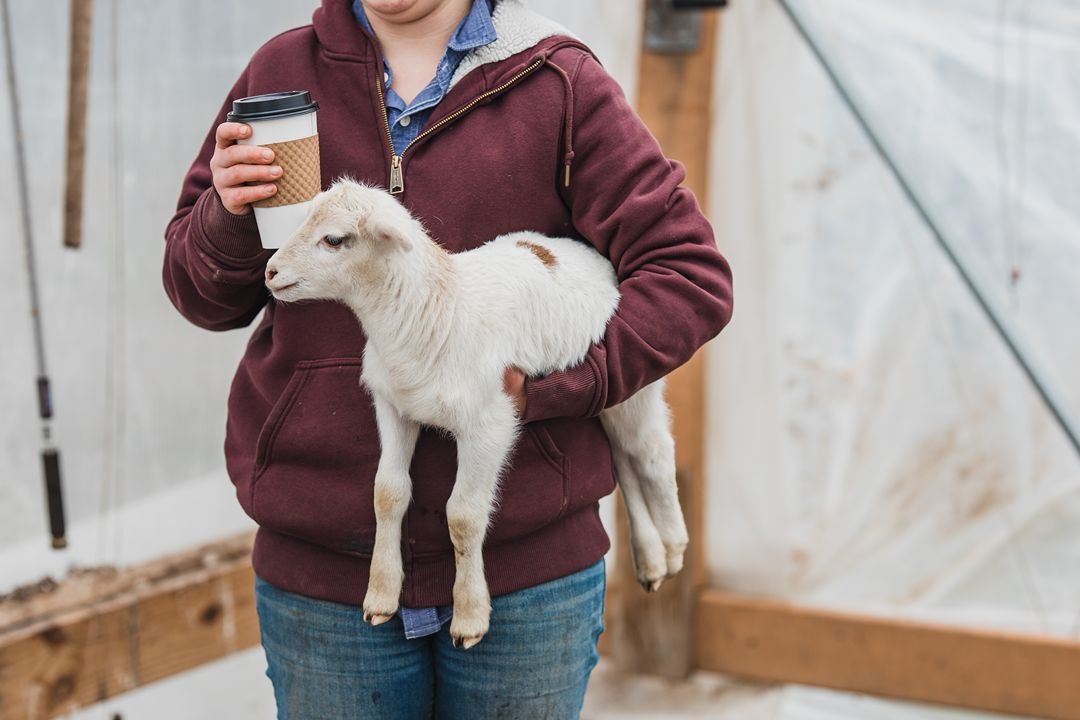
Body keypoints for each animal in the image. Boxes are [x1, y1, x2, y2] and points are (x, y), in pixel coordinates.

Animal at [264, 180, 687, 649]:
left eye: (335, 240)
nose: (270, 272)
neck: (434, 311)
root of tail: (592, 254)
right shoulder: (394, 407)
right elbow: (387, 493)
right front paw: (381, 594)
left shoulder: (489, 423)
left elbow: (463, 517)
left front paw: (469, 616)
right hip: (611, 399)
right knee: (623, 460)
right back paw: (651, 560)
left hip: (635, 384)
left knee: (652, 453)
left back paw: (673, 545)